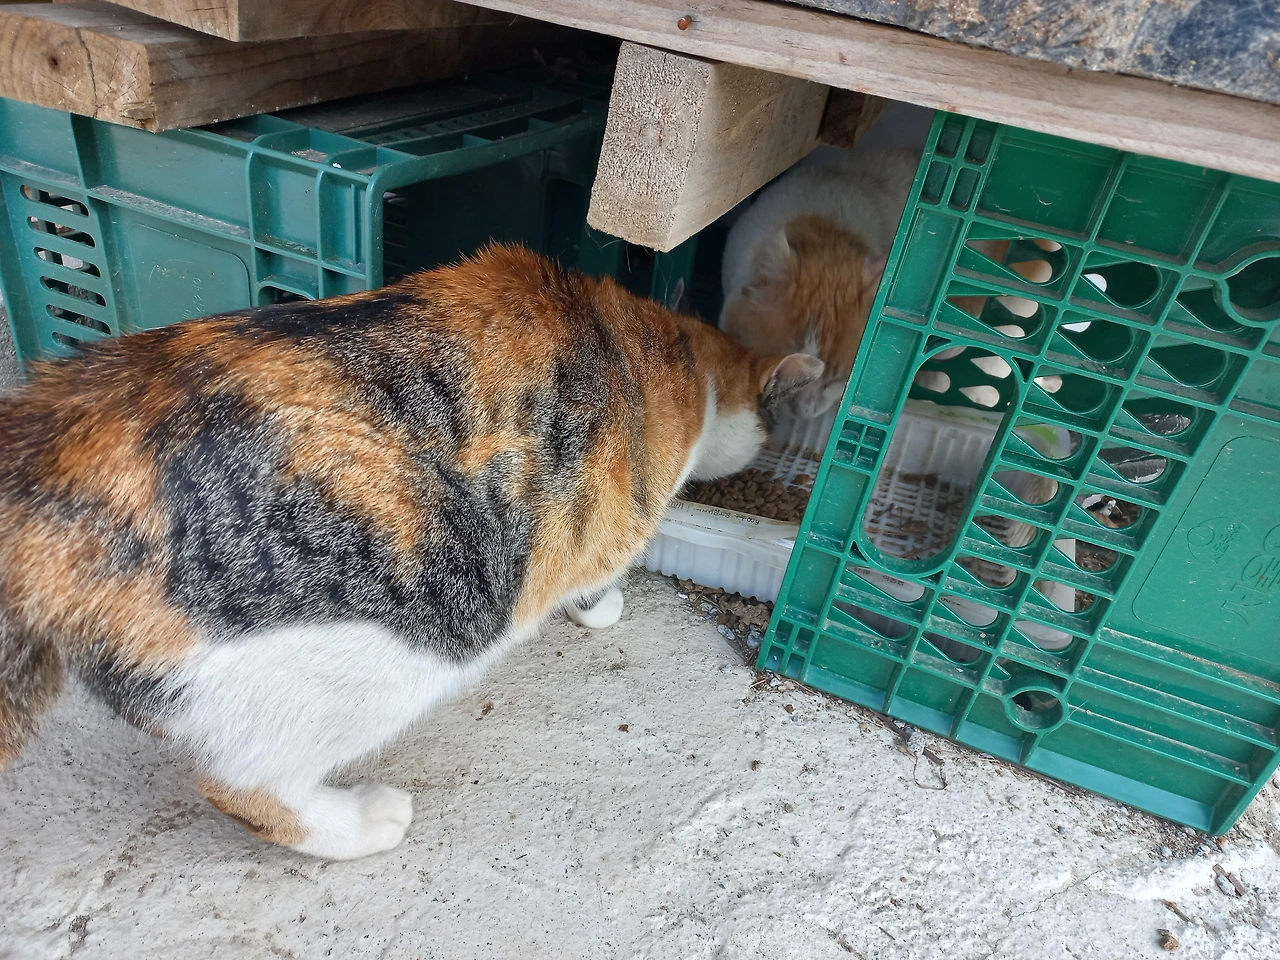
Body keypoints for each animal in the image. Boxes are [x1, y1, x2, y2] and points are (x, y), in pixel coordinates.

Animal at [0, 244, 822, 860]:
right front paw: (601, 608)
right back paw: (362, 823)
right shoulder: (612, 521)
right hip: (397, 644)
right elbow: (599, 574)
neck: (672, 349)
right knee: (243, 784)